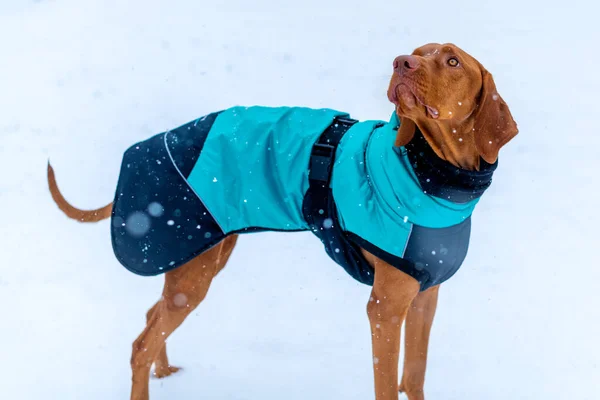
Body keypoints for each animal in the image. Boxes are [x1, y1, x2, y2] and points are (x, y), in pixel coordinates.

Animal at [48, 42, 516, 398]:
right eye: (418, 52)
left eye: (452, 61)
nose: (402, 61)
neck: (432, 179)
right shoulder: (385, 308)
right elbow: (386, 383)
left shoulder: (424, 297)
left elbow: (414, 375)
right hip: (192, 268)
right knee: (141, 343)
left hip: (202, 258)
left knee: (151, 318)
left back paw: (164, 373)